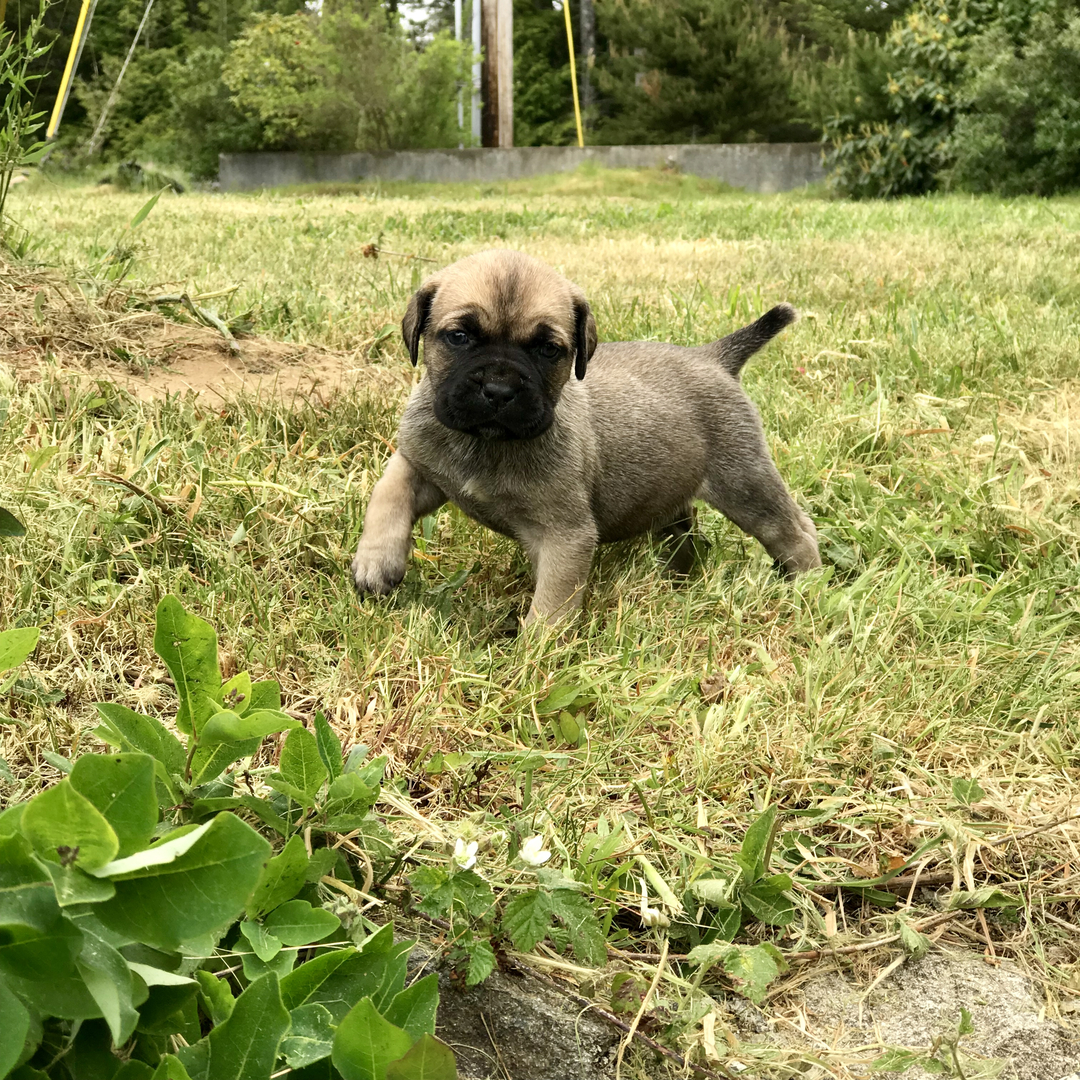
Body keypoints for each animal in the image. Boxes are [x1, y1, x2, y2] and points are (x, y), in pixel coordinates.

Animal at [352, 249, 816, 626]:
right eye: (460, 337)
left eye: (548, 349)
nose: (499, 390)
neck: (487, 443)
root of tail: (715, 358)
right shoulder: (421, 464)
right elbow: (388, 494)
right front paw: (377, 560)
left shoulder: (565, 538)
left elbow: (550, 609)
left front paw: (535, 661)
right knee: (685, 534)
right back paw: (678, 581)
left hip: (747, 486)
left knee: (793, 531)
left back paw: (807, 584)